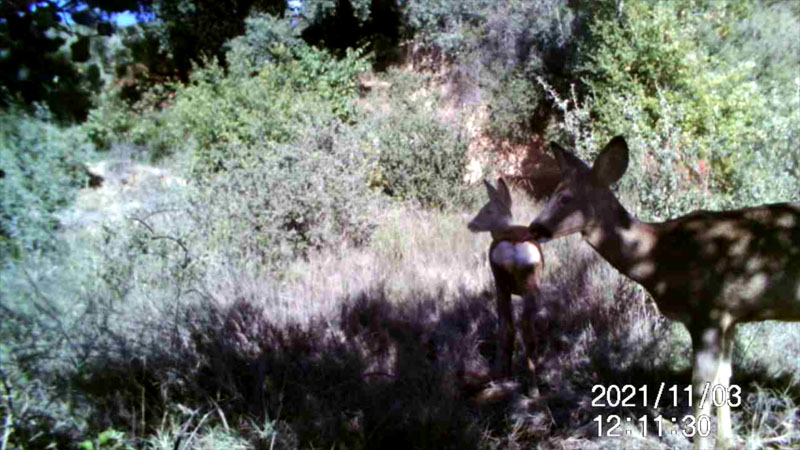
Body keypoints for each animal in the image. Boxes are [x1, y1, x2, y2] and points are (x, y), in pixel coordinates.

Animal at [466, 178, 548, 380]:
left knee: (509, 326)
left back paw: (507, 373)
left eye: (487, 209)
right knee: (523, 326)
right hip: (526, 286)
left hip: (502, 284)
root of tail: (513, 248)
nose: (471, 224)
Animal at [524, 137, 800, 450]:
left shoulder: (708, 312)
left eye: (565, 198)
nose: (535, 228)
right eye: (554, 193)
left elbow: (700, 387)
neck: (658, 256)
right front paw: (726, 442)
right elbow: (723, 379)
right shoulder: (729, 317)